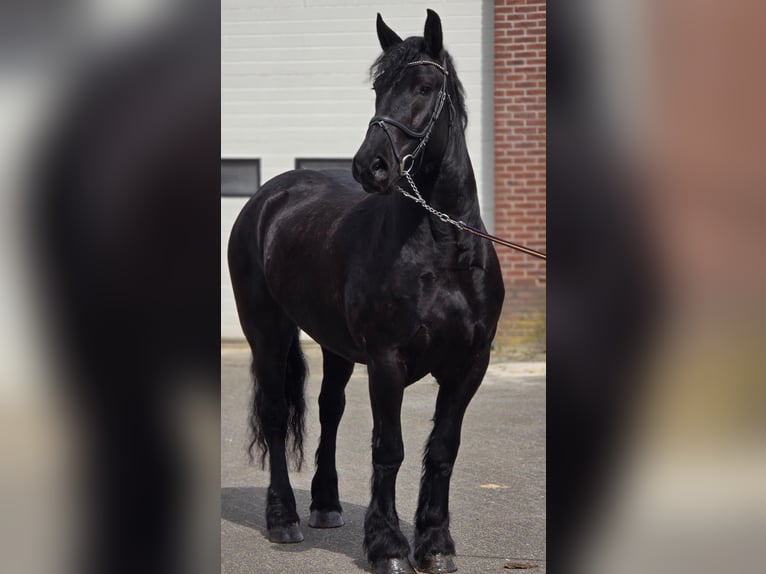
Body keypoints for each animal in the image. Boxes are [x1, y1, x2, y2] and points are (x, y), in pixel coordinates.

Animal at [227, 10, 504, 574]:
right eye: (378, 88)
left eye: (424, 87)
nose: (369, 166)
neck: (441, 246)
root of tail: (268, 197)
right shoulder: (386, 360)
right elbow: (389, 448)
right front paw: (388, 547)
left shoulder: (470, 364)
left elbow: (442, 449)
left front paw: (435, 544)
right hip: (266, 330)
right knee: (274, 413)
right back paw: (283, 518)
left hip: (335, 345)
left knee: (329, 409)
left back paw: (326, 505)